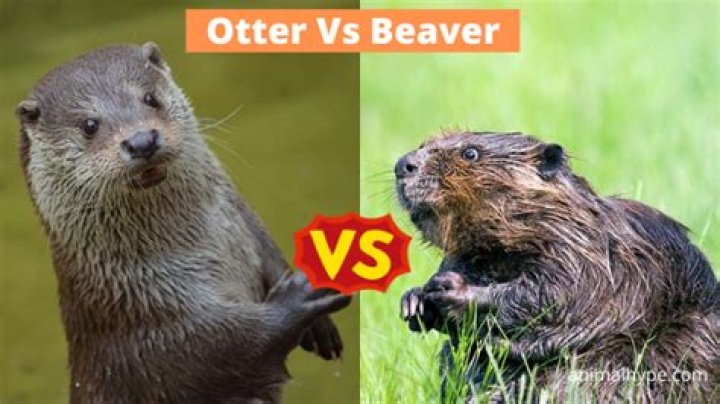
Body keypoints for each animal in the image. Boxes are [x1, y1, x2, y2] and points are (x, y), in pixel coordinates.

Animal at [15, 42, 351, 403]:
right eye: (89, 125)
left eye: (150, 98)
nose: (141, 140)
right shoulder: (148, 331)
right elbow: (223, 348)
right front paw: (299, 298)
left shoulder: (245, 223)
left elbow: (268, 249)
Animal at [396, 132, 719, 402]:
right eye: (424, 144)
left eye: (471, 153)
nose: (403, 165)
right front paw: (415, 300)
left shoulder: (584, 252)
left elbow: (554, 293)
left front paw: (452, 290)